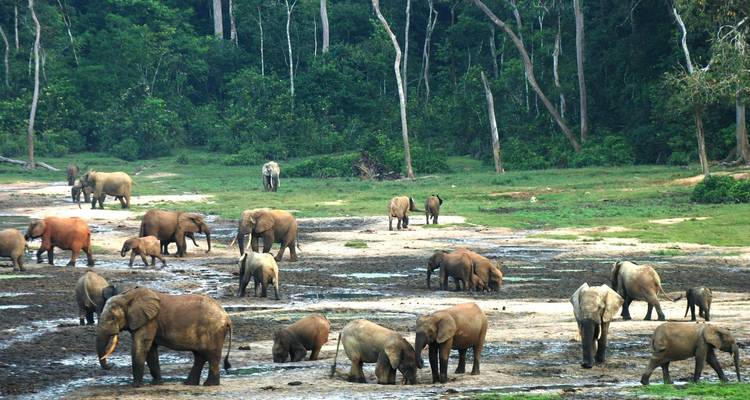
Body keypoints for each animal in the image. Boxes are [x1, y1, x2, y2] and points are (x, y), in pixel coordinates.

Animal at [96, 287, 233, 387]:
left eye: (112, 318)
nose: (111, 365)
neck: (127, 296)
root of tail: (226, 317)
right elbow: (151, 350)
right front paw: (156, 384)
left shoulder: (149, 321)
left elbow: (141, 346)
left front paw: (136, 386)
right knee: (200, 356)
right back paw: (189, 384)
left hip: (213, 331)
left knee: (212, 356)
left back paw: (209, 385)